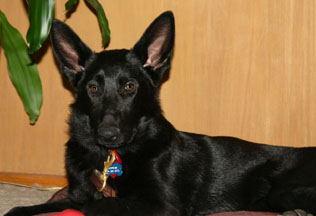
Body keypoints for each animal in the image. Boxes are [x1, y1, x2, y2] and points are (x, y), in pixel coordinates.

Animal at [5, 11, 316, 216]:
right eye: (93, 88)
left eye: (129, 86)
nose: (108, 135)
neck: (112, 158)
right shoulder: (76, 194)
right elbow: (21, 209)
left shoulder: (162, 205)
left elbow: (100, 204)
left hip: (284, 189)